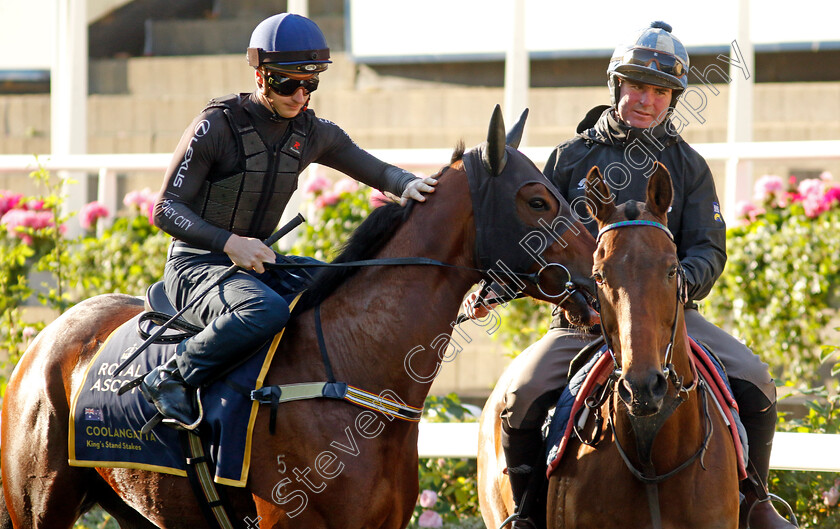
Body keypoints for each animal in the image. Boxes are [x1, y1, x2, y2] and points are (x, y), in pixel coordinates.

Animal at [3, 105, 600, 524]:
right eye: (538, 199)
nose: (598, 278)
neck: (351, 372)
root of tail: (42, 340)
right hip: (36, 504)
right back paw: (165, 388)